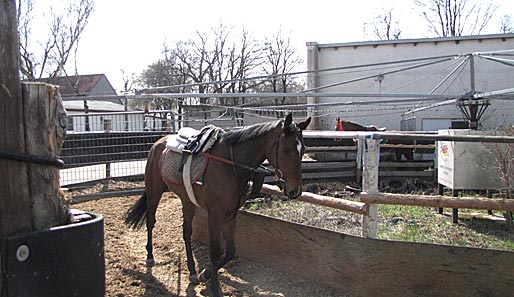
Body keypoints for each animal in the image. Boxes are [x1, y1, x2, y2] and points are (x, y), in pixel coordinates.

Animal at [125, 113, 308, 296]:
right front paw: (214, 286)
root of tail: (158, 143)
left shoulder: (231, 214)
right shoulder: (215, 214)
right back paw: (150, 257)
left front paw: (204, 274)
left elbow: (230, 251)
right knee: (150, 221)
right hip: (154, 191)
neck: (230, 164)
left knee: (186, 232)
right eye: (286, 149)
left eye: (303, 150)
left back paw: (192, 271)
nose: (295, 190)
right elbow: (215, 251)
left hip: (187, 200)